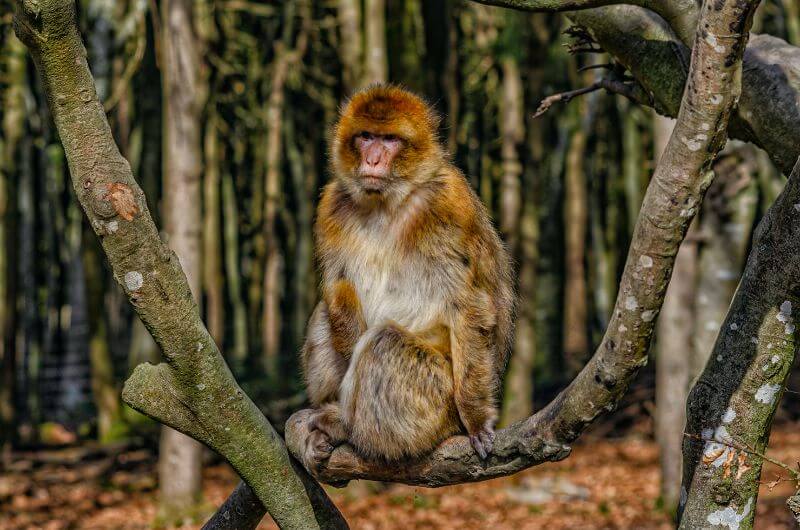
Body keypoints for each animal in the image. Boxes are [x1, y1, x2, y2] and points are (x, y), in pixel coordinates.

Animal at [296, 85, 516, 470]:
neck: (386, 202)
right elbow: (337, 286)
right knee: (326, 313)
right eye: (366, 136)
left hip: (436, 400)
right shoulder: (331, 206)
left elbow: (469, 305)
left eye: (390, 140)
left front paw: (476, 419)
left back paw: (346, 427)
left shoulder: (448, 205)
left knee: (385, 343)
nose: (372, 160)